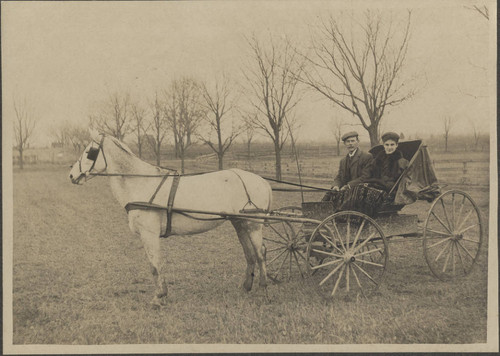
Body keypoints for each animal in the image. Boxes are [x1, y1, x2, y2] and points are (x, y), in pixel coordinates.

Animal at [68, 134, 272, 306]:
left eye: (89, 151)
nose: (71, 175)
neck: (140, 182)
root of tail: (263, 181)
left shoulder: (149, 234)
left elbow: (155, 265)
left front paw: (159, 296)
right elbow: (156, 264)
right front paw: (162, 293)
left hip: (253, 225)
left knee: (260, 253)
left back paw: (263, 289)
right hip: (240, 223)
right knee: (249, 254)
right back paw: (246, 287)